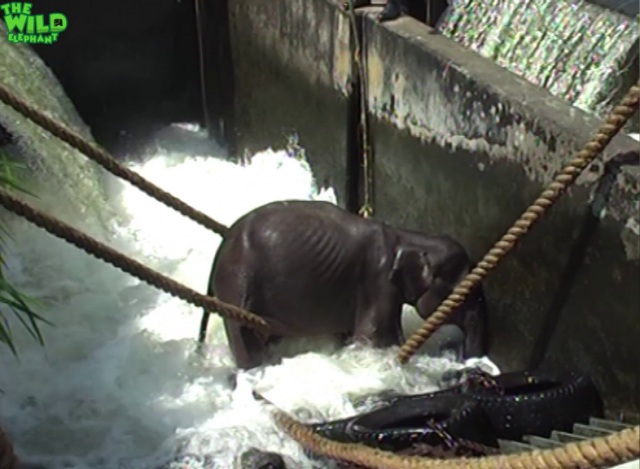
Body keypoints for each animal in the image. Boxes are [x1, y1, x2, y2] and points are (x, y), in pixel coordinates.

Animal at [198, 200, 488, 370]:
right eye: (464, 293)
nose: (469, 359)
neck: (406, 237)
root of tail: (221, 247)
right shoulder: (378, 281)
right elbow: (375, 339)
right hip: (238, 287)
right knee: (246, 340)